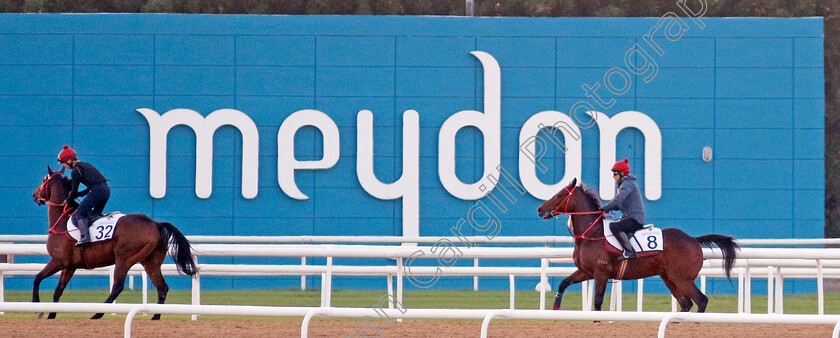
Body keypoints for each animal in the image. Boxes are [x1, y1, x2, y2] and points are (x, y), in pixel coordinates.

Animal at [31, 166, 199, 320]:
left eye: (44, 180)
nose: (34, 195)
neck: (62, 221)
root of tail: (156, 224)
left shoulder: (58, 260)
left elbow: (37, 278)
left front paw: (37, 307)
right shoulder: (69, 266)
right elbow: (58, 290)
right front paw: (51, 314)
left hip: (124, 259)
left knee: (117, 287)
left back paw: (97, 314)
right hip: (150, 261)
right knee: (162, 287)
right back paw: (155, 316)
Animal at [540, 178, 736, 312]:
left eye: (560, 194)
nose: (540, 209)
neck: (592, 234)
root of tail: (694, 239)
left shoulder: (601, 273)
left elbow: (598, 302)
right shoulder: (586, 271)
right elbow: (563, 284)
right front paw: (555, 307)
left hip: (682, 278)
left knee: (701, 300)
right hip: (669, 278)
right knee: (686, 303)